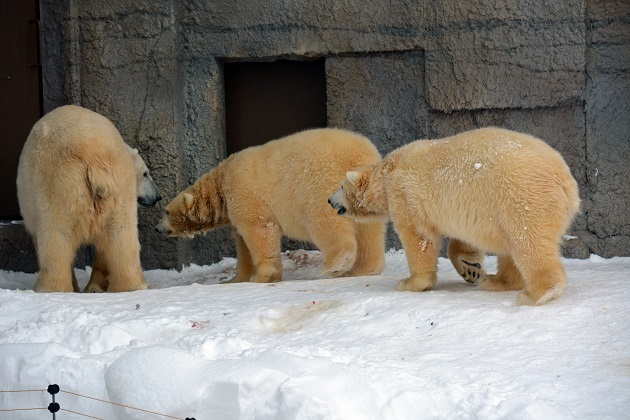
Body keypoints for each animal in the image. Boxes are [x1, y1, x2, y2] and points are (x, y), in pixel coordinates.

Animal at [17, 105, 162, 294]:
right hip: (117, 181)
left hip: (57, 182)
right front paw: (96, 286)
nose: (157, 196)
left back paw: (51, 288)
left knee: (57, 234)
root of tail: (93, 156)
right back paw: (128, 287)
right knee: (121, 232)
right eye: (145, 174)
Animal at [157, 128, 386, 282]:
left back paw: (335, 266)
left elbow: (259, 230)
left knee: (324, 221)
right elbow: (243, 246)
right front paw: (236, 279)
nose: (158, 228)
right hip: (361, 192)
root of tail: (362, 153)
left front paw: (263, 276)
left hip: (319, 184)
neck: (221, 182)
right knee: (370, 231)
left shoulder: (243, 192)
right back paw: (363, 269)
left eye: (166, 211)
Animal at [330, 127, 584, 306]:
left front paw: (410, 283)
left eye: (341, 186)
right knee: (511, 247)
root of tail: (566, 182)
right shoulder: (466, 208)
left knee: (528, 242)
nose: (330, 201)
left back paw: (536, 294)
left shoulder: (405, 194)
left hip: (520, 197)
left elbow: (418, 237)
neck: (387, 173)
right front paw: (471, 268)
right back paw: (495, 281)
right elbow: (465, 238)